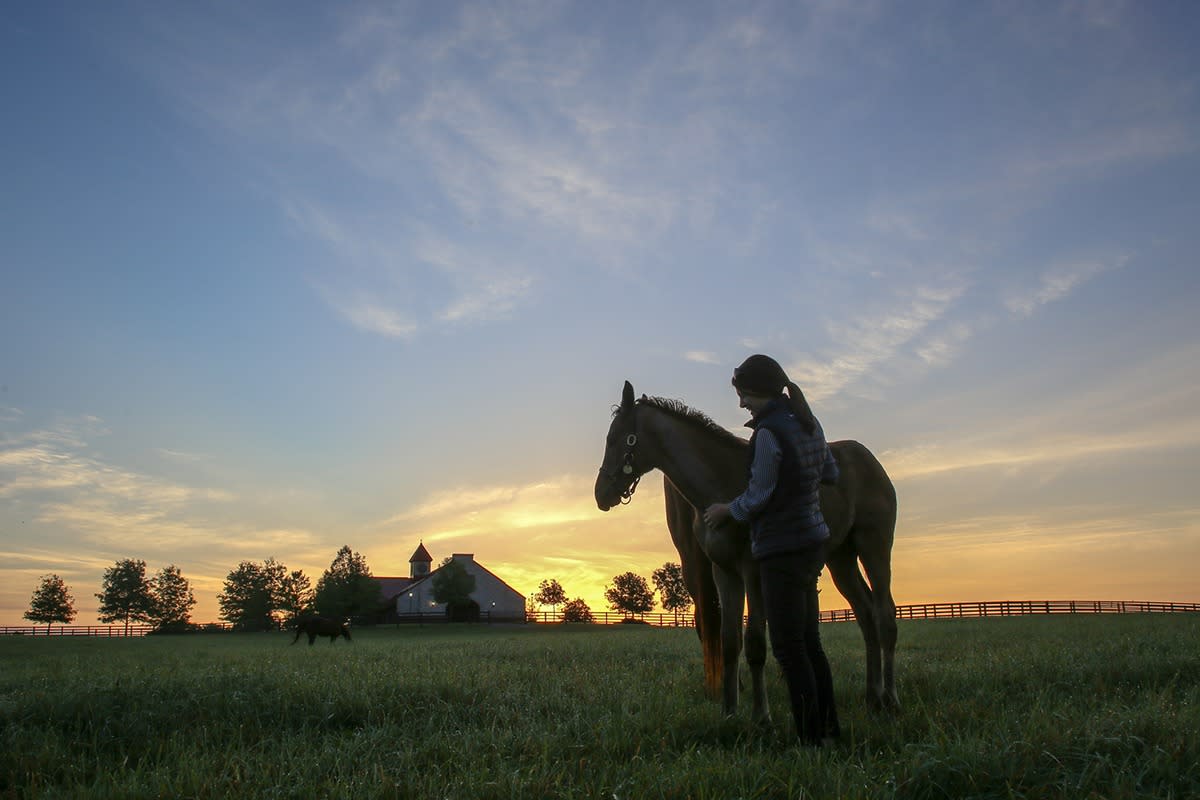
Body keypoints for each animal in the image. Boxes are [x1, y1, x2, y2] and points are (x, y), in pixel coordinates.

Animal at [595, 381, 897, 719]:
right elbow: (729, 641)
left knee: (885, 615)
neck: (723, 485)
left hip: (874, 547)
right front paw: (729, 711)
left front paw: (761, 715)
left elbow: (754, 642)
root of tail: (869, 459)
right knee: (866, 615)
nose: (600, 493)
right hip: (841, 559)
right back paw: (872, 697)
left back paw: (890, 699)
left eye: (614, 438)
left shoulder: (753, 571)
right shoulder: (724, 571)